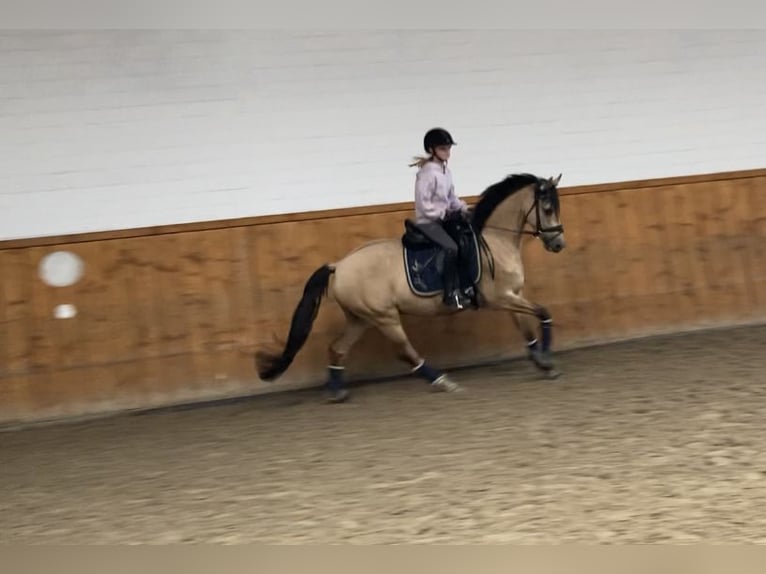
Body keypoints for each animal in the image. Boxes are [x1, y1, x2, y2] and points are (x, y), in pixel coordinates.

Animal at [255, 173, 568, 402]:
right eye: (547, 208)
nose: (558, 244)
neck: (495, 240)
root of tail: (339, 265)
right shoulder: (500, 297)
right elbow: (543, 312)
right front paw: (548, 360)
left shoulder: (512, 296)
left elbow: (528, 328)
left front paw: (542, 362)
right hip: (384, 317)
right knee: (404, 351)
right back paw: (443, 381)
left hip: (360, 319)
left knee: (336, 349)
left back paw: (337, 392)